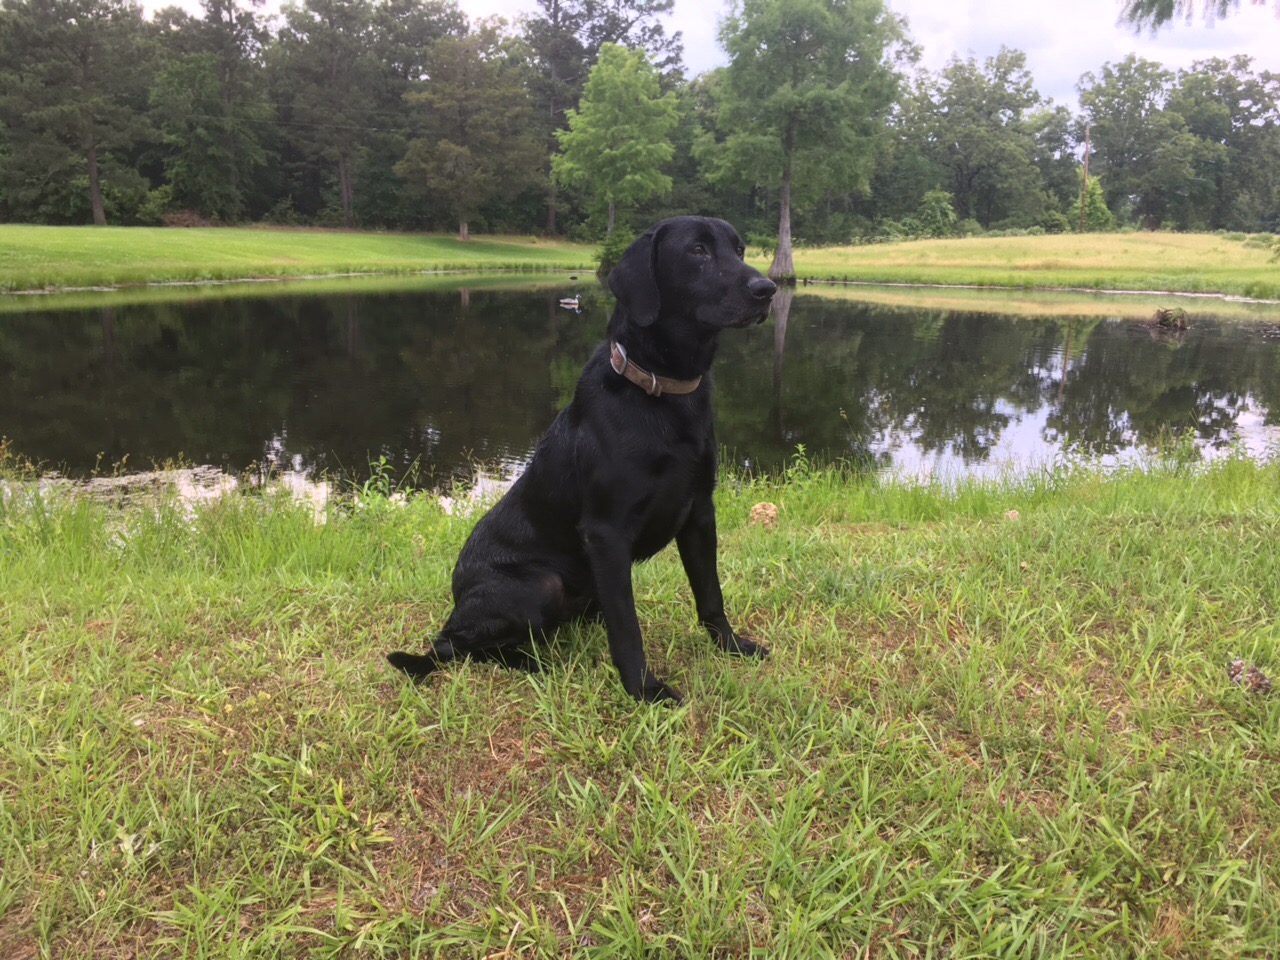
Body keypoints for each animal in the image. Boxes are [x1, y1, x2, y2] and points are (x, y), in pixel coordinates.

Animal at [384, 216, 773, 706]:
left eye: (739, 250)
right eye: (697, 250)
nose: (768, 289)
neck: (661, 392)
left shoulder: (700, 513)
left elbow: (710, 595)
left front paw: (732, 646)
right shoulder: (606, 532)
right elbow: (627, 627)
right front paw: (644, 689)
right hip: (539, 584)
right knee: (464, 646)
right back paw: (534, 665)